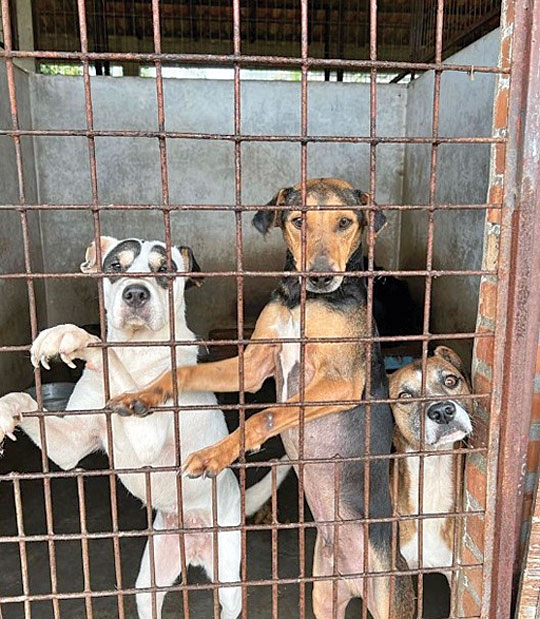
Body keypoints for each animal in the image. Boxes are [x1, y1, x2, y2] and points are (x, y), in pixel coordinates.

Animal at [0, 236, 285, 619]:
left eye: (164, 269)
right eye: (115, 267)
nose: (135, 293)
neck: (137, 353)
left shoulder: (147, 433)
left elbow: (110, 358)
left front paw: (73, 337)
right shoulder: (70, 446)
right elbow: (32, 409)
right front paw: (6, 409)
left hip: (227, 571)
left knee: (230, 600)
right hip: (150, 578)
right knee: (150, 597)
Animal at [110, 178, 415, 619]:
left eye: (344, 223)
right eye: (298, 220)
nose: (321, 276)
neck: (304, 300)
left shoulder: (342, 384)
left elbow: (265, 415)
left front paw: (215, 455)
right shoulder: (253, 365)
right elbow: (183, 372)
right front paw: (142, 395)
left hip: (388, 596)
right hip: (323, 592)